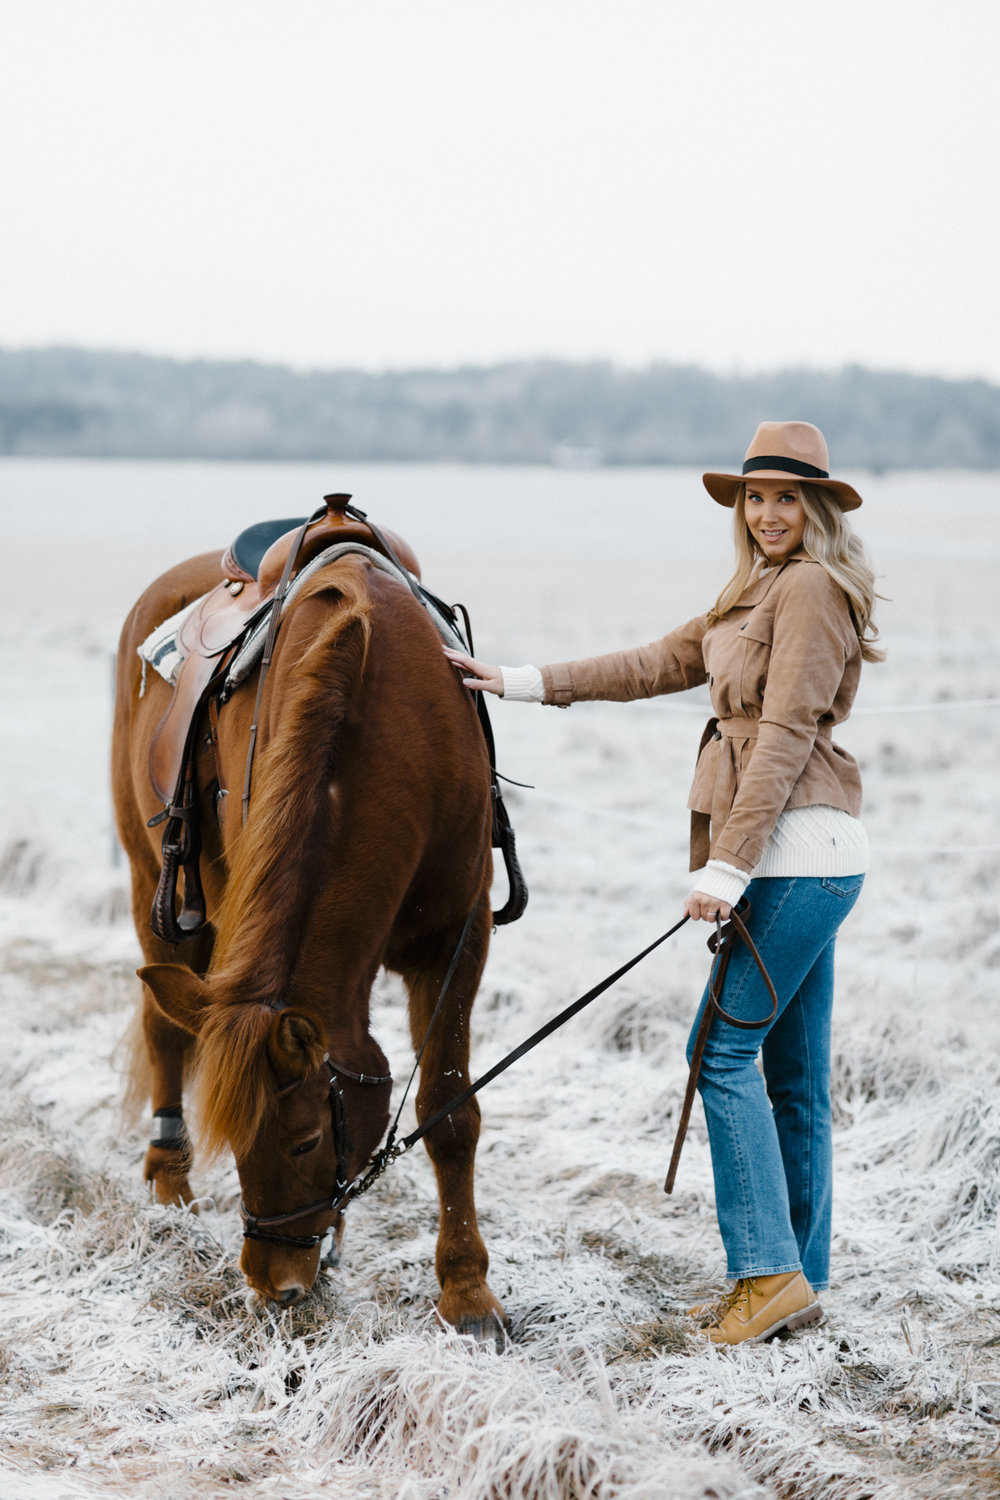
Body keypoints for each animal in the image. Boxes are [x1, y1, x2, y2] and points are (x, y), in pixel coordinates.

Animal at [115, 543, 509, 1338]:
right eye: (236, 1142)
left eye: (302, 1140)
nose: (275, 1286)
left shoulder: (459, 939)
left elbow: (450, 1112)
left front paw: (466, 1292)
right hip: (150, 883)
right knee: (164, 1029)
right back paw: (169, 1177)